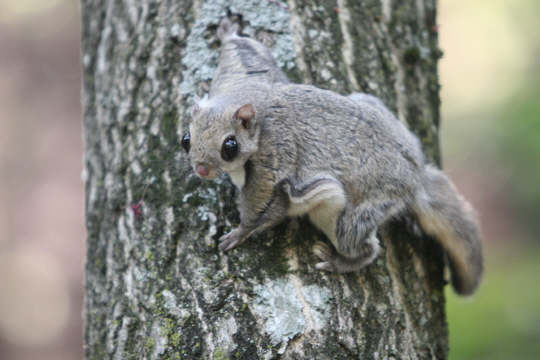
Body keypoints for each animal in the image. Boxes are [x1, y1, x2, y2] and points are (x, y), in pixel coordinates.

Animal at [182, 17, 486, 296]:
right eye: (186, 140)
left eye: (230, 147)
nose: (200, 170)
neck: (251, 105)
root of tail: (416, 173)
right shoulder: (243, 74)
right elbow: (246, 51)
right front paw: (228, 34)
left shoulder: (273, 159)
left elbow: (262, 206)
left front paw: (240, 232)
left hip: (353, 215)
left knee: (363, 247)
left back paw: (337, 261)